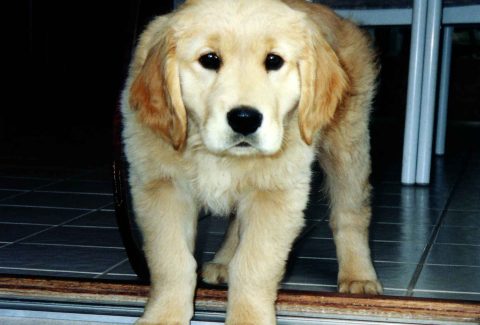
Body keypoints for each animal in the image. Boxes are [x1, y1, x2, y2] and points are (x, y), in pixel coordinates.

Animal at [123, 0, 382, 322]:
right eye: (210, 59)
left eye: (274, 61)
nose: (245, 119)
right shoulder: (162, 188)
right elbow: (171, 261)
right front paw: (163, 316)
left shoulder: (275, 194)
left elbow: (253, 264)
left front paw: (247, 318)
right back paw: (223, 261)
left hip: (347, 145)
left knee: (351, 212)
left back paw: (358, 276)